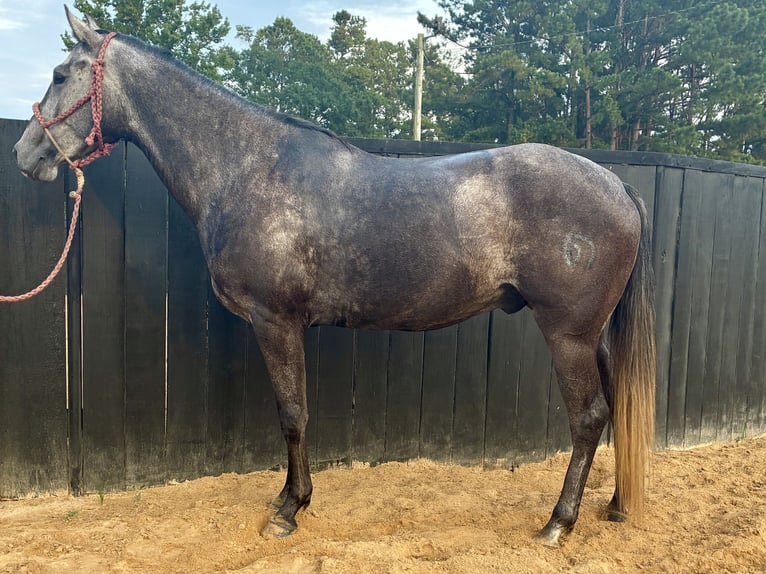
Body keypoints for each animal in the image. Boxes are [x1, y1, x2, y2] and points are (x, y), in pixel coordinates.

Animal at [13, 8, 655, 547]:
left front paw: (288, 509)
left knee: (588, 417)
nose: (25, 153)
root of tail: (617, 184)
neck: (246, 165)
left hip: (567, 334)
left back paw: (557, 524)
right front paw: (287, 499)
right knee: (616, 409)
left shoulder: (276, 321)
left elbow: (292, 414)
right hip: (594, 336)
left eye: (62, 74)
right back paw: (614, 506)